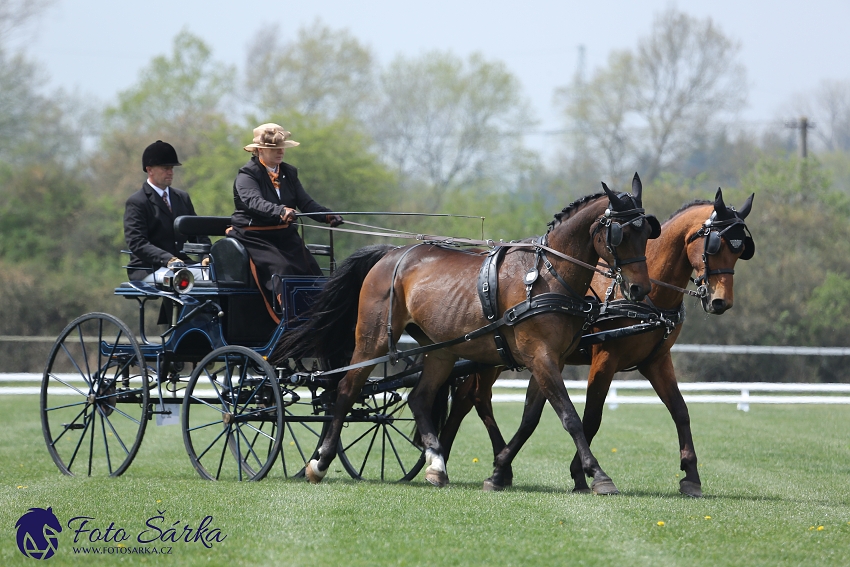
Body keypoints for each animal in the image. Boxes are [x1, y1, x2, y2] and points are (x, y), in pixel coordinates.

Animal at [274, 179, 660, 492]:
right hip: (373, 341)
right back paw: (320, 462)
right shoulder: (540, 356)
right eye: (620, 234)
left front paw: (501, 471)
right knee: (346, 390)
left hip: (440, 350)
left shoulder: (552, 360)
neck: (549, 276)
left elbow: (533, 417)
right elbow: (569, 416)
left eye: (647, 232)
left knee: (419, 398)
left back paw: (436, 465)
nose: (639, 289)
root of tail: (391, 254)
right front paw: (598, 475)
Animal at [434, 187, 752, 496]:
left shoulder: (656, 361)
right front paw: (584, 474)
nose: (720, 302)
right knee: (474, 399)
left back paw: (446, 456)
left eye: (740, 250)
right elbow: (592, 417)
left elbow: (680, 411)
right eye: (715, 245)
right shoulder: (604, 358)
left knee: (467, 400)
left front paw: (691, 476)